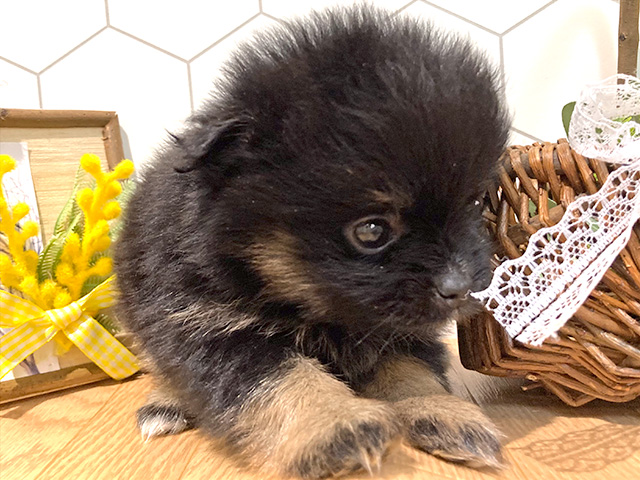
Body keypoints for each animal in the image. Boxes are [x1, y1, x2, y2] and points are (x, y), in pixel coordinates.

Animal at [114, 5, 510, 479]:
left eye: (475, 202)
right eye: (372, 231)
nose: (459, 287)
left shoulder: (398, 328)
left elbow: (413, 368)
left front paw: (446, 411)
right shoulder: (207, 324)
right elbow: (281, 378)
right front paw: (333, 425)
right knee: (163, 364)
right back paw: (166, 403)